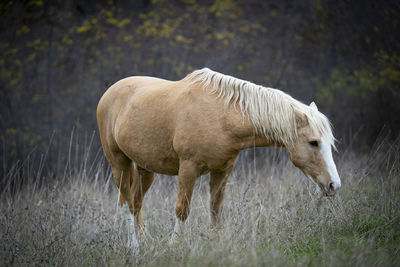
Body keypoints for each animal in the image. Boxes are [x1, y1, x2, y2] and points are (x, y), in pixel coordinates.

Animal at [96, 68, 340, 248]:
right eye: (313, 142)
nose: (333, 185)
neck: (221, 116)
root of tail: (110, 92)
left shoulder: (223, 170)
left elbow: (215, 208)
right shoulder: (188, 169)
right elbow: (182, 209)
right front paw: (174, 247)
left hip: (145, 170)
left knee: (135, 204)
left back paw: (144, 241)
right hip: (119, 164)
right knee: (127, 203)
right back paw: (134, 247)